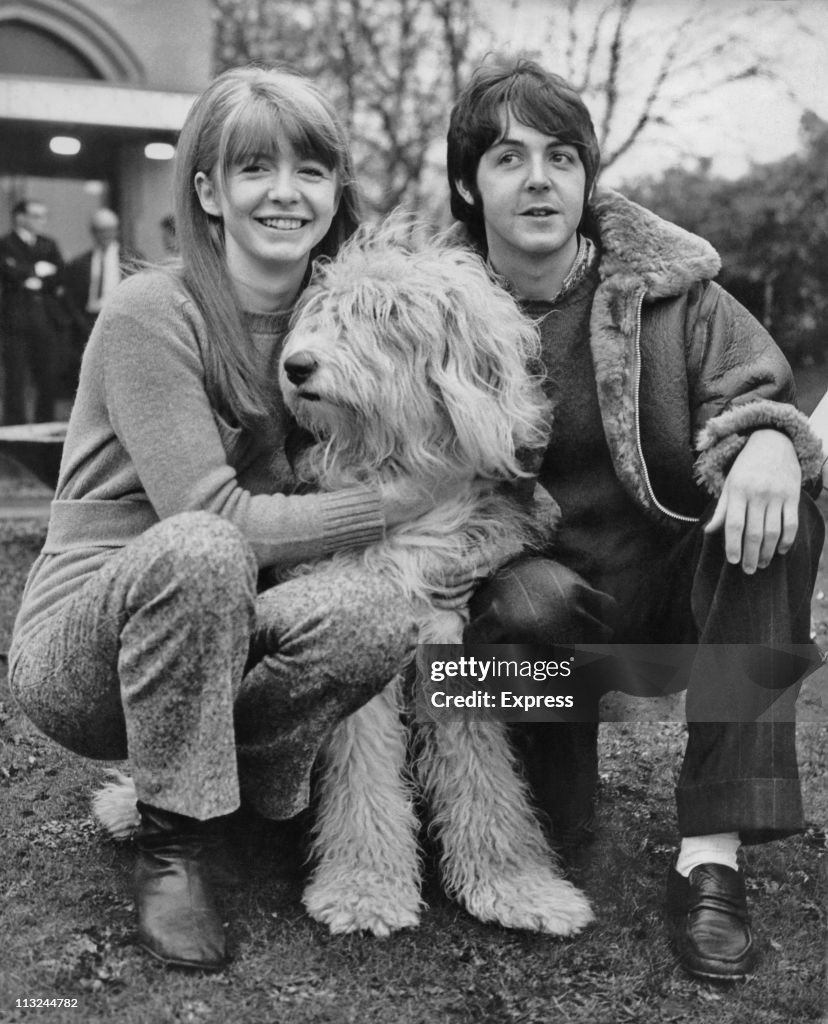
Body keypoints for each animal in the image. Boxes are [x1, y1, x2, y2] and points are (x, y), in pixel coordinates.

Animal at [93, 220, 589, 937]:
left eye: (386, 318)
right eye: (325, 315)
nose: (297, 367)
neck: (392, 464)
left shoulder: (449, 633)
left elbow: (485, 774)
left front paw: (516, 885)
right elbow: (363, 775)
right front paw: (365, 889)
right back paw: (135, 807)